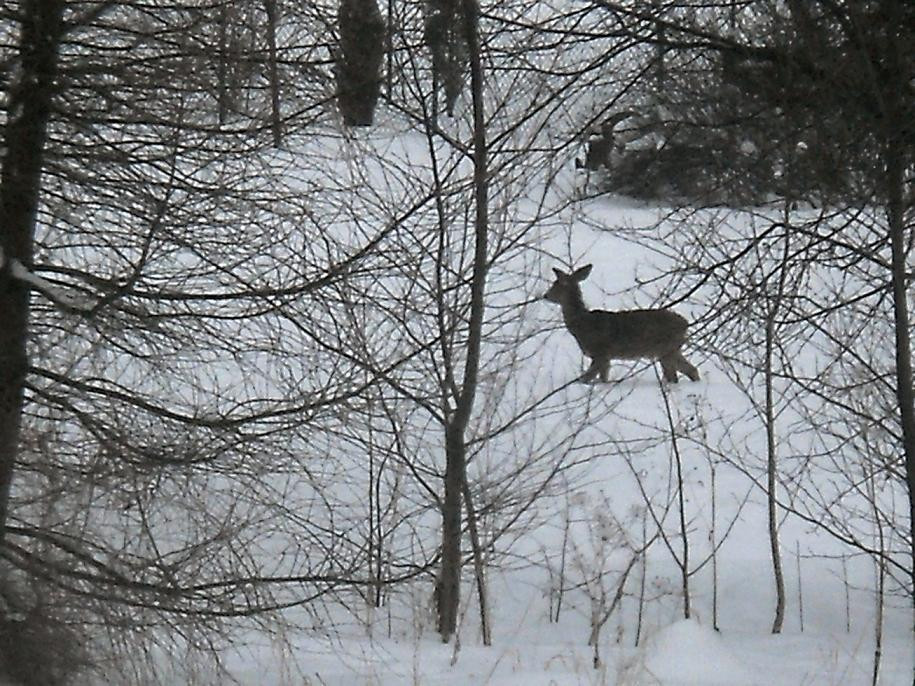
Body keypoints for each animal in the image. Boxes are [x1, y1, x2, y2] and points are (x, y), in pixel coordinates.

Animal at [544, 264, 700, 384]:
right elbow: (602, 378)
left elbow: (589, 377)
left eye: (557, 285)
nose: (545, 295)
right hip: (671, 350)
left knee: (677, 374)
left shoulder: (601, 352)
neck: (583, 322)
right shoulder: (604, 356)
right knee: (689, 371)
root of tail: (685, 324)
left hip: (666, 349)